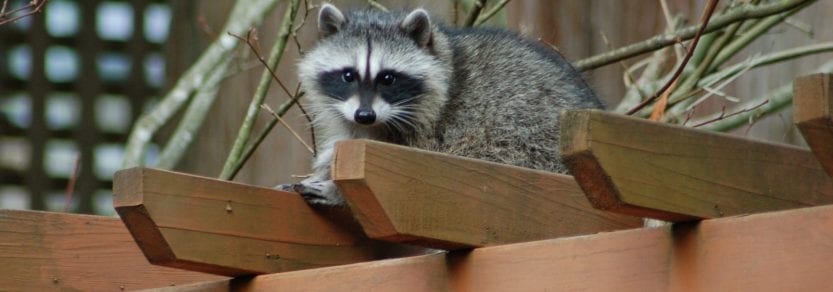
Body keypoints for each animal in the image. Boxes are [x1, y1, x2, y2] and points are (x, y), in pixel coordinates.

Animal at [282, 4, 600, 205]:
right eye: (348, 75)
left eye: (388, 78)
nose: (365, 115)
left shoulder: (439, 129)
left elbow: (403, 179)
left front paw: (339, 191)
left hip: (528, 139)